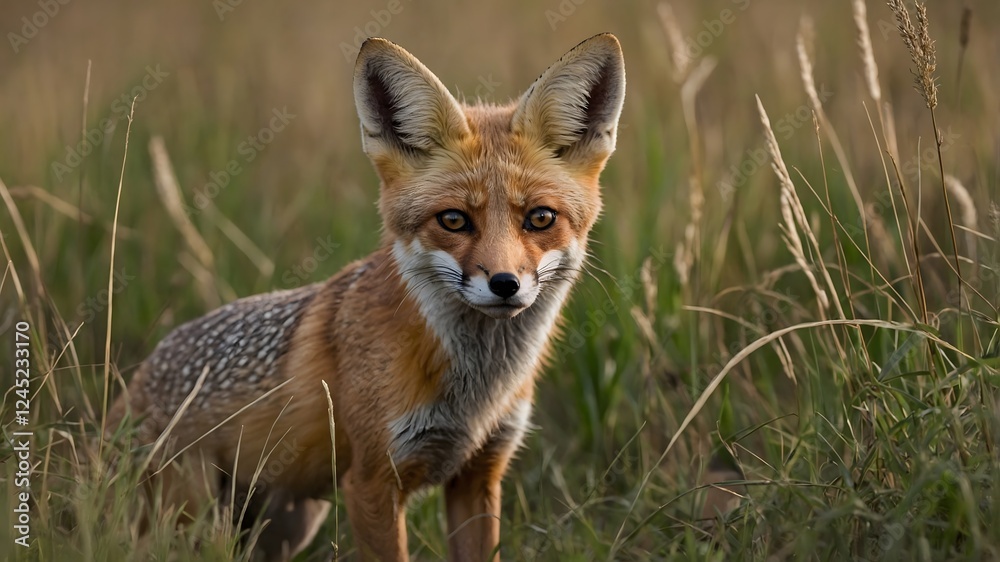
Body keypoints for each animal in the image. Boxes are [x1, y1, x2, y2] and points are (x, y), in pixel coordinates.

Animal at [109, 33, 626, 561]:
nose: (504, 283)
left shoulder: (479, 474)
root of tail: (131, 391)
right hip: (198, 527)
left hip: (288, 526)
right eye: (453, 220)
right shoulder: (374, 481)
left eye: (540, 218)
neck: (475, 394)